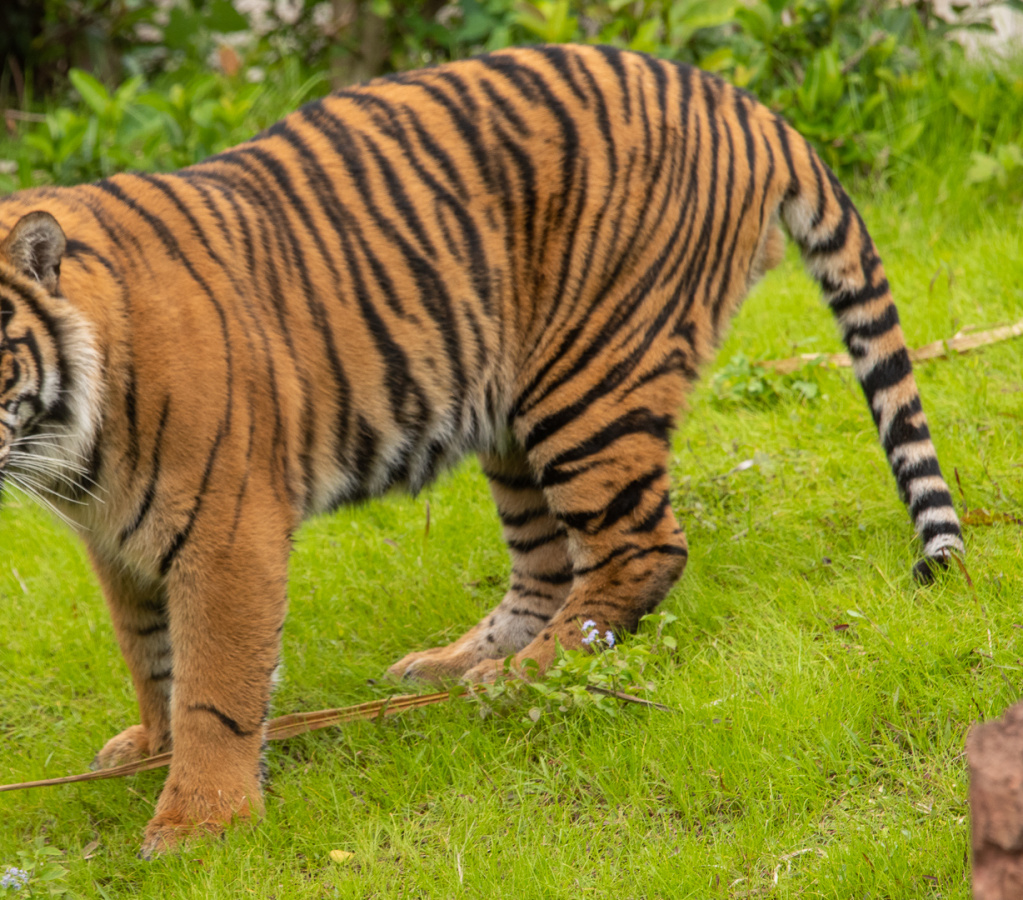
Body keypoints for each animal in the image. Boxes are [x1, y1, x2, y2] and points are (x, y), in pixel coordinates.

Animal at [0, 44, 964, 856]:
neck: (75, 442)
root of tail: (735, 97)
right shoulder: (120, 544)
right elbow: (148, 655)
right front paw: (147, 750)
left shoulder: (227, 531)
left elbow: (213, 684)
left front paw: (201, 821)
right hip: (511, 410)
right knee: (547, 564)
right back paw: (456, 664)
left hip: (587, 383)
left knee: (639, 549)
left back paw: (516, 681)